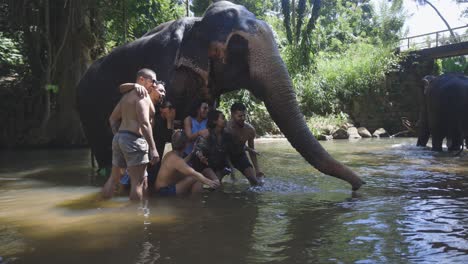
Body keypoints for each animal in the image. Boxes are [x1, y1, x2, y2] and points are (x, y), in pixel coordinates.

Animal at [76, 0, 366, 190]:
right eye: (237, 45)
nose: (360, 185)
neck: (197, 24)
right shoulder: (164, 65)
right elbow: (156, 129)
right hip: (87, 110)